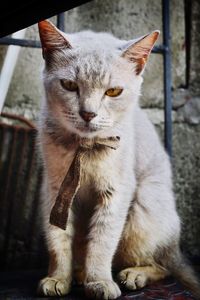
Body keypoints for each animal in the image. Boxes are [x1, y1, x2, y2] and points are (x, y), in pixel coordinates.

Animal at [36, 19, 199, 298]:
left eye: (113, 91)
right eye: (69, 86)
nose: (88, 113)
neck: (84, 148)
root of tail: (176, 247)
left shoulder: (117, 190)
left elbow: (102, 241)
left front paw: (99, 282)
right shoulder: (55, 189)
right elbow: (58, 238)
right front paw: (57, 278)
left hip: (143, 209)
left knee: (161, 265)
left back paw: (133, 275)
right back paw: (78, 274)